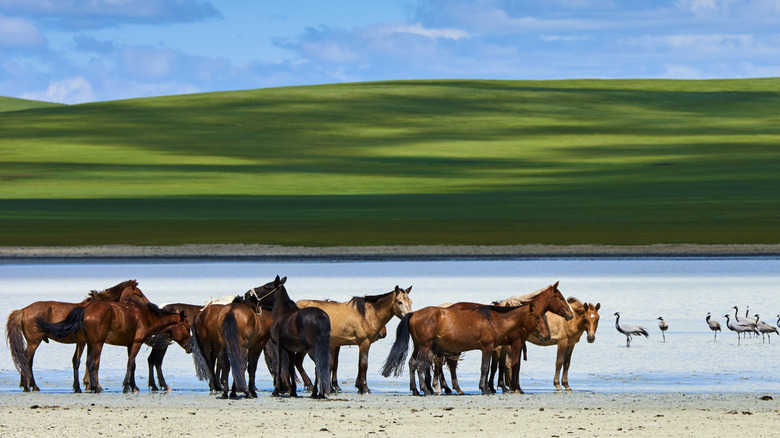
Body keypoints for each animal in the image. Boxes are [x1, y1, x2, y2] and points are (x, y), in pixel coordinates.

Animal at [4, 280, 149, 394]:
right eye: (139, 294)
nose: (148, 305)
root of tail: (22, 311)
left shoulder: (88, 342)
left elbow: (86, 362)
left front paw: (87, 384)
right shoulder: (91, 342)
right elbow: (94, 362)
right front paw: (94, 385)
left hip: (34, 342)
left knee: (28, 361)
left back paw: (32, 385)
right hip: (34, 342)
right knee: (25, 360)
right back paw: (27, 385)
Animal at [35, 300, 187, 392]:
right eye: (186, 327)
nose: (190, 346)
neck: (146, 317)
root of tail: (85, 309)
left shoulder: (129, 345)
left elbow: (133, 365)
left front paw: (133, 386)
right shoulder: (136, 343)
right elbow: (130, 364)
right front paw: (127, 387)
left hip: (84, 342)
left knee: (77, 362)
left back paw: (78, 388)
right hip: (97, 343)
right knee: (91, 362)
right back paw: (96, 387)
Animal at [382, 282, 572, 396]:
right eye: (560, 297)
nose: (570, 315)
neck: (496, 319)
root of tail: (414, 314)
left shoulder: (501, 346)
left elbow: (497, 367)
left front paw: (500, 387)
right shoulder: (495, 346)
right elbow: (490, 367)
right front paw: (492, 388)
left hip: (421, 345)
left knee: (414, 363)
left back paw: (421, 389)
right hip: (426, 346)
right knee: (423, 364)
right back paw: (429, 390)